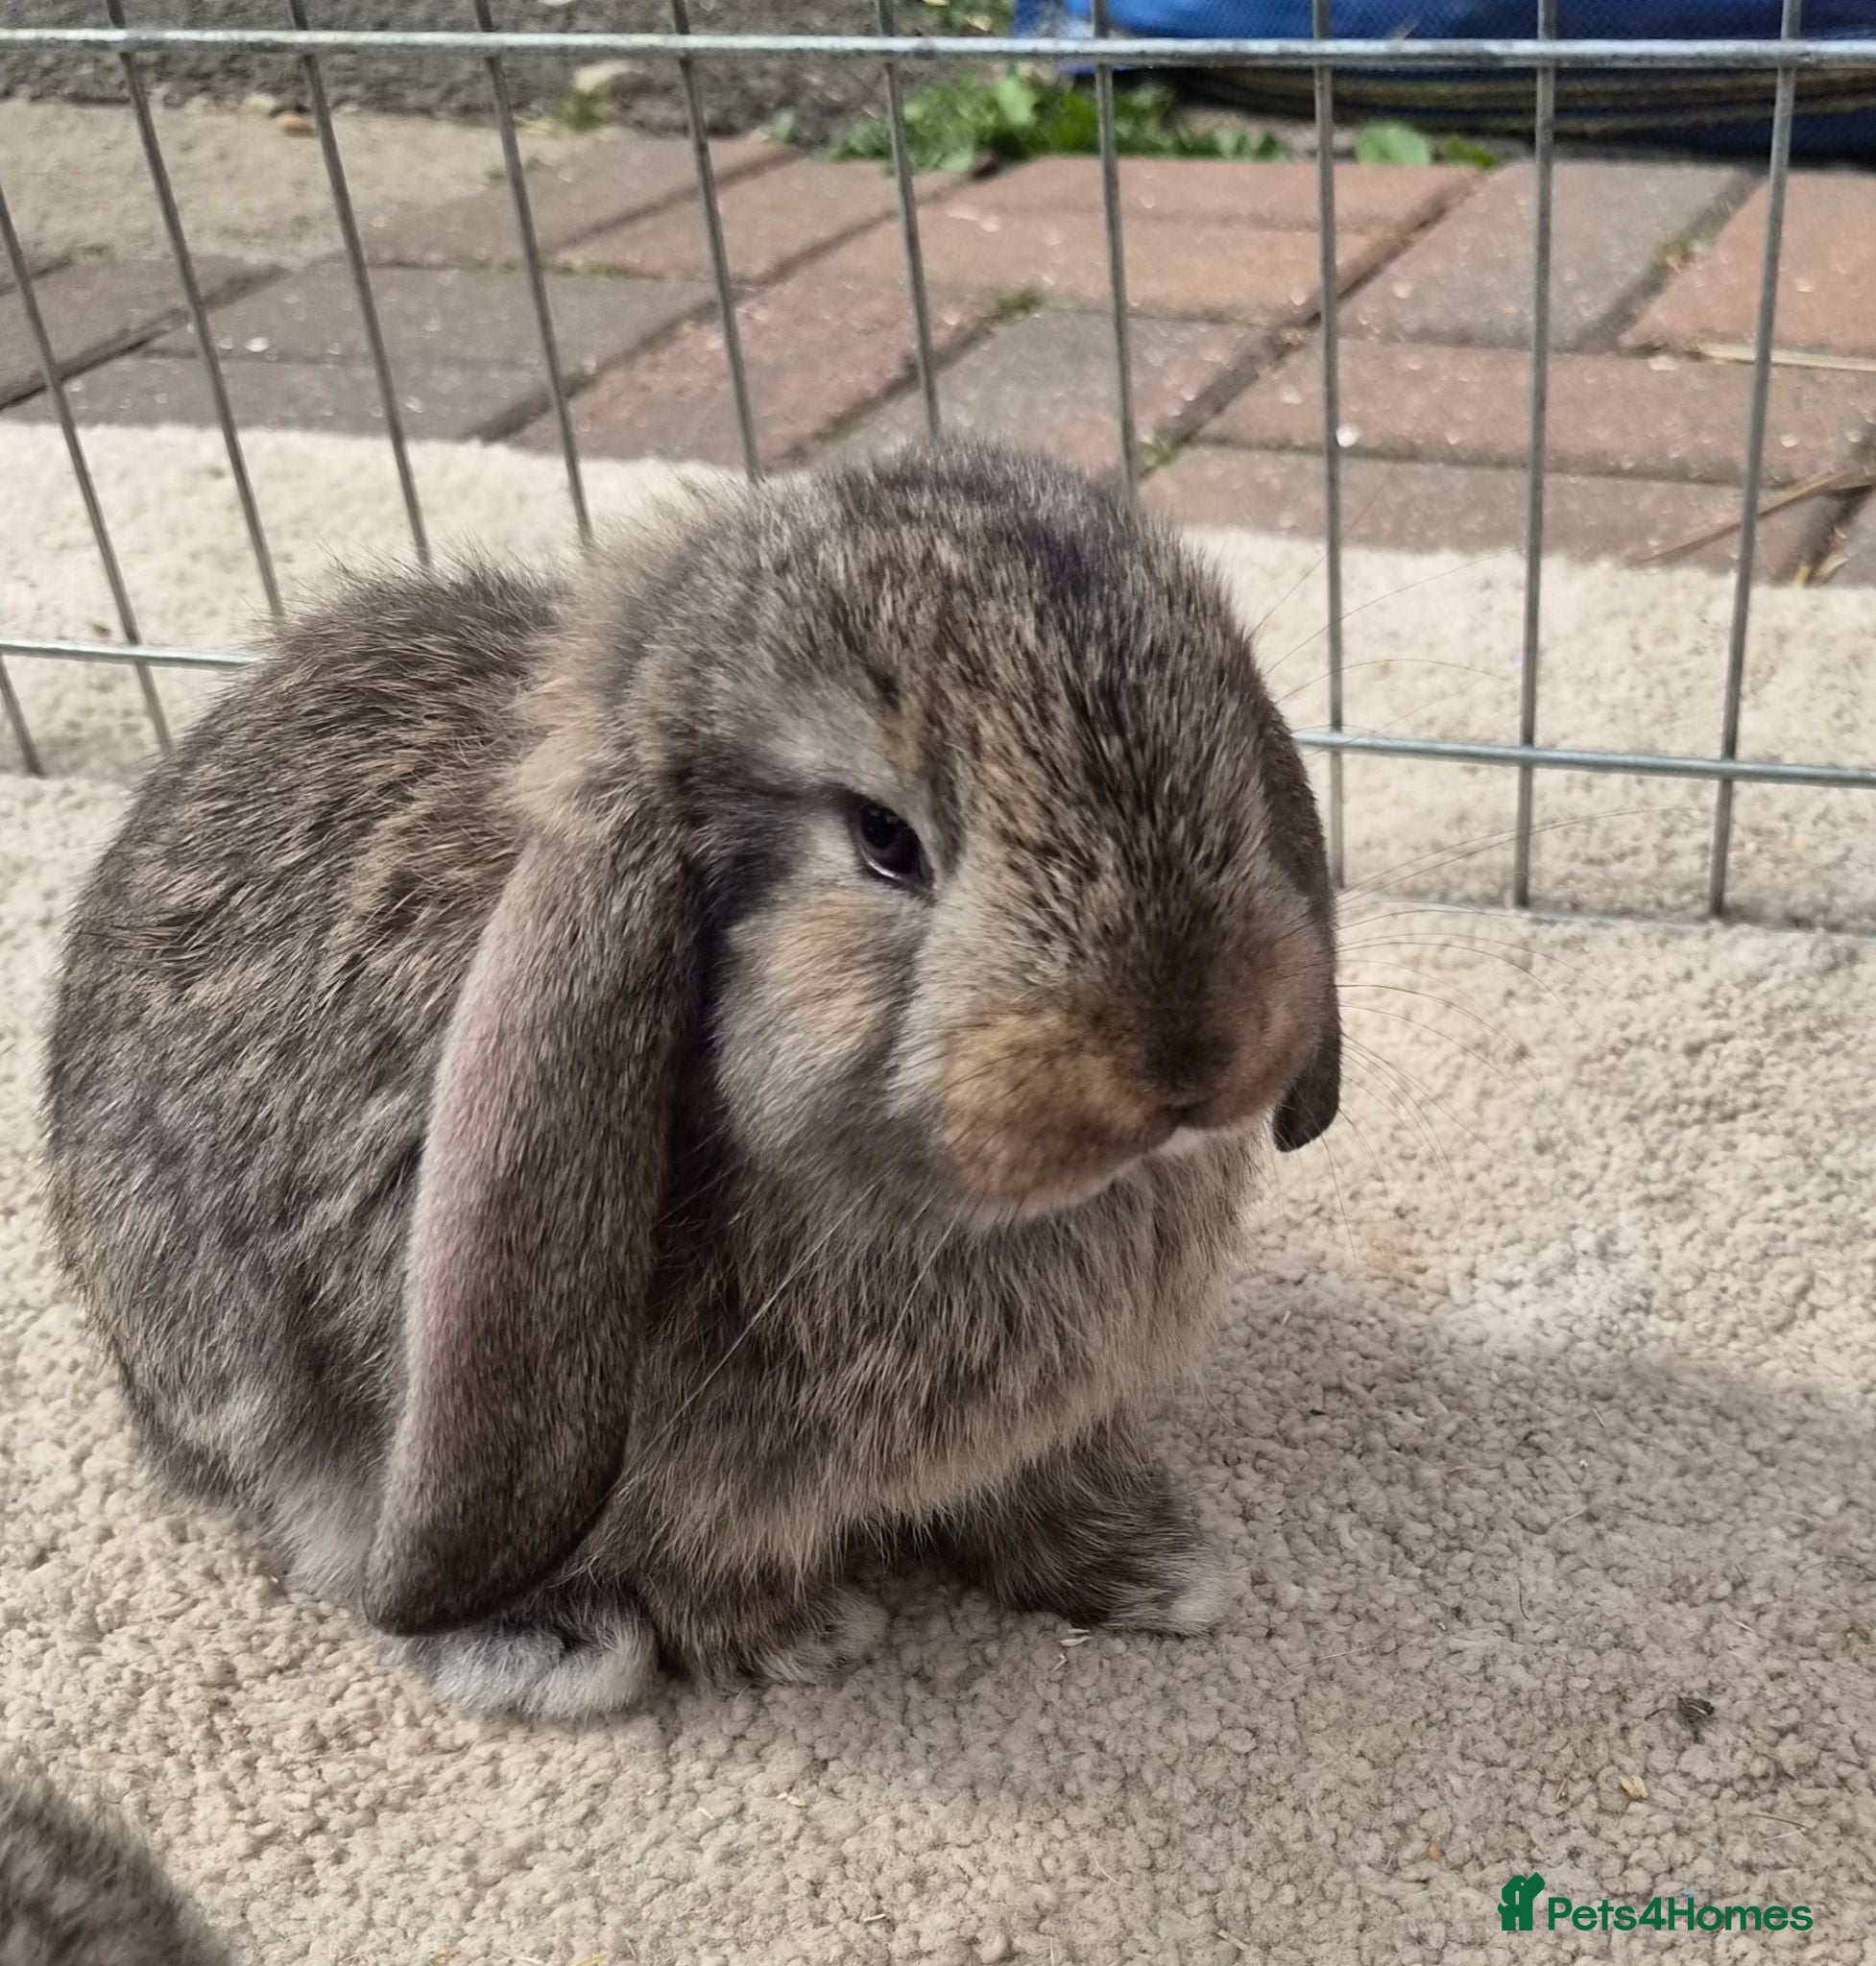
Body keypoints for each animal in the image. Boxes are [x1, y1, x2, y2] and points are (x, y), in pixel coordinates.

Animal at [44, 439, 1340, 1721]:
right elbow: (704, 1573)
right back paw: (558, 1645)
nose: (1190, 1057)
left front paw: (1156, 1573)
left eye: (1227, 764)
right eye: (883, 838)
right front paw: (809, 1636)